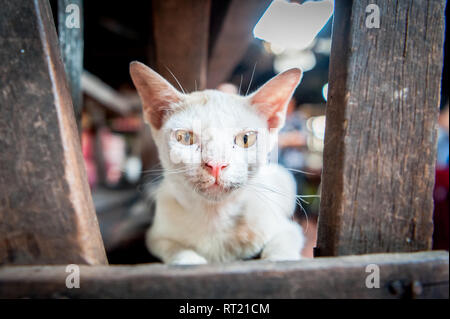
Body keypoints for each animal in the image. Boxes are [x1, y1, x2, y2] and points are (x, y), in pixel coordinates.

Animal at [130, 62, 306, 264]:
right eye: (185, 137)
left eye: (246, 139)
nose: (216, 164)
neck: (215, 216)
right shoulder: (156, 237)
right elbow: (176, 251)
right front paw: (191, 261)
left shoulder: (288, 229)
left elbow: (282, 251)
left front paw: (277, 260)